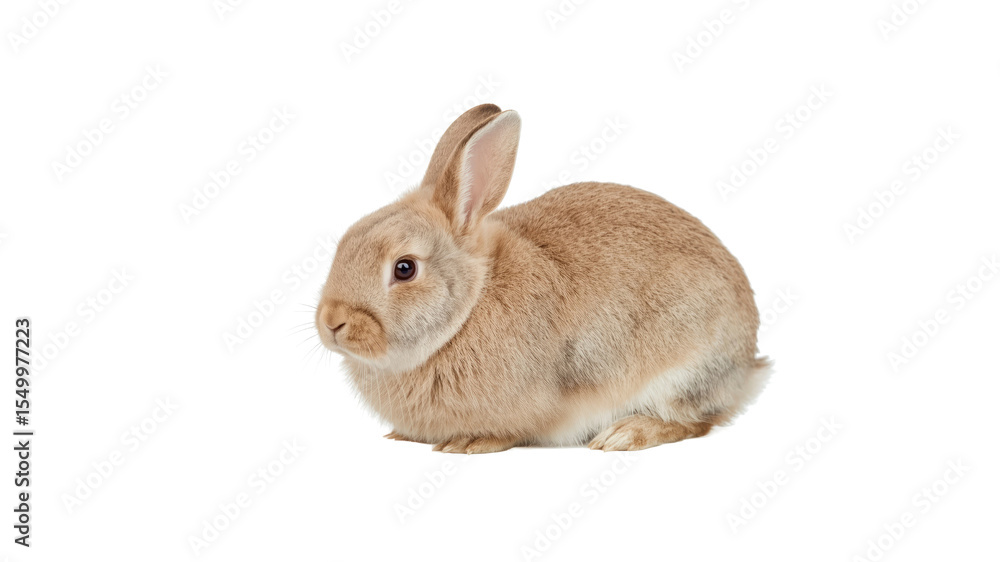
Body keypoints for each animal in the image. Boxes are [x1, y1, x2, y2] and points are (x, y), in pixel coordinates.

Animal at [316, 104, 771, 453]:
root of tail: (747, 363)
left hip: (685, 369)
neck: (471, 305)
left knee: (694, 421)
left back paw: (624, 434)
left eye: (404, 268)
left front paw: (468, 443)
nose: (332, 322)